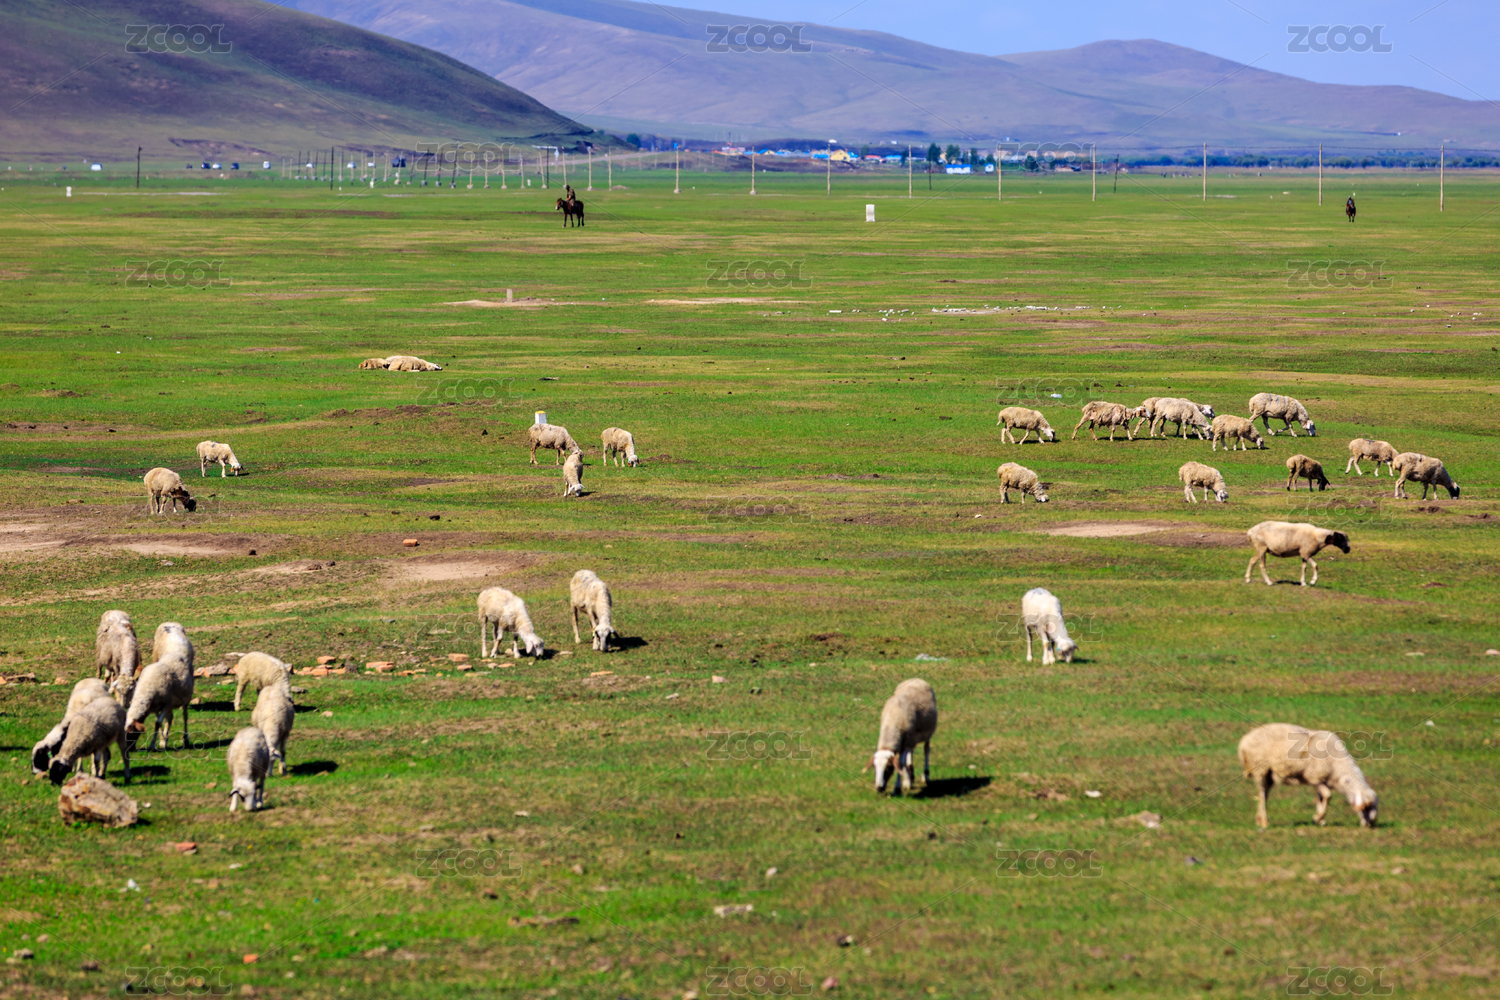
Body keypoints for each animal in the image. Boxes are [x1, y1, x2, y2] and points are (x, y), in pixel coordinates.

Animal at [1238, 723, 1378, 828]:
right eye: (1366, 808)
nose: (1369, 825)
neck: (1338, 767)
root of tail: (1244, 741)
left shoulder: (1322, 780)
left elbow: (1322, 797)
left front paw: (1320, 819)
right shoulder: (1314, 778)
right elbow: (1328, 795)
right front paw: (1318, 817)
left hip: (1269, 774)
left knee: (1264, 794)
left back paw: (1259, 819)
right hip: (1260, 769)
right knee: (1262, 794)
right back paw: (1264, 822)